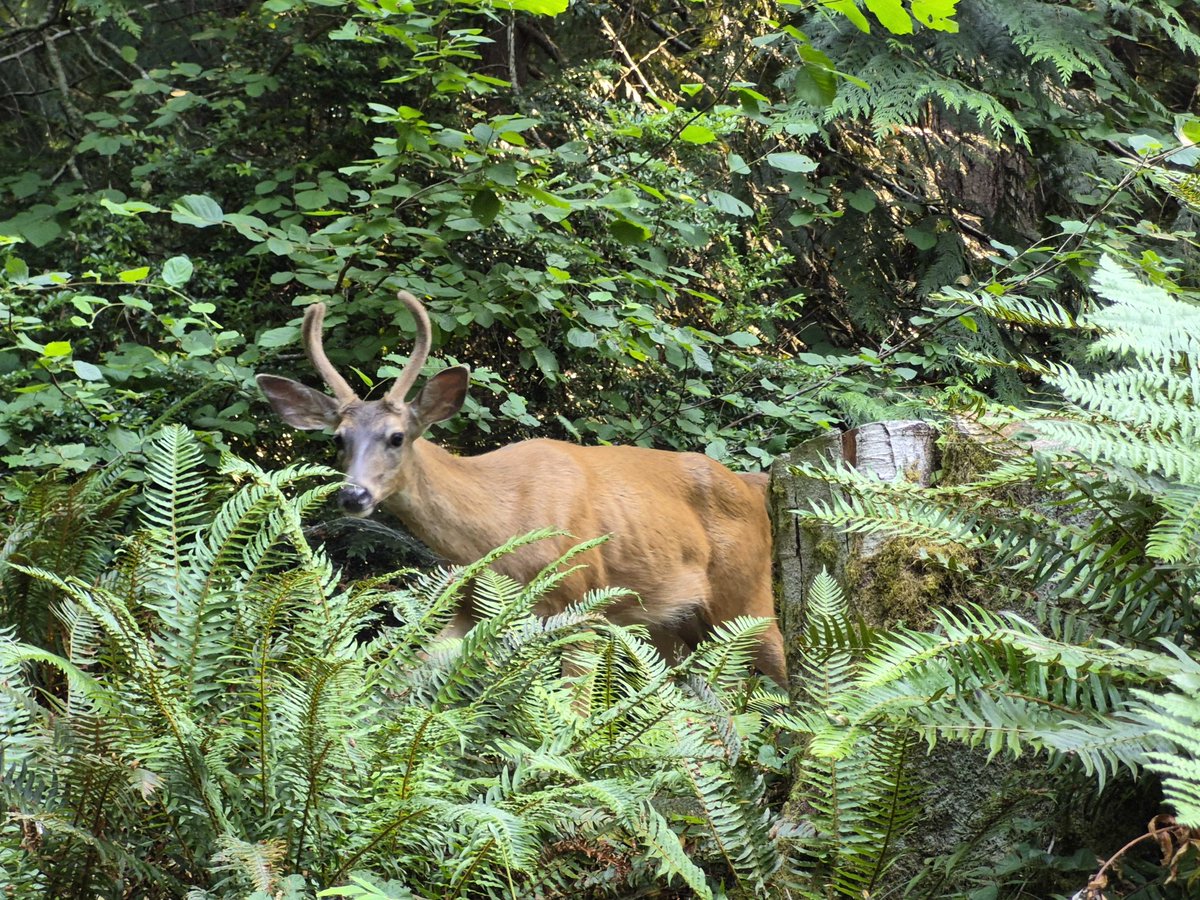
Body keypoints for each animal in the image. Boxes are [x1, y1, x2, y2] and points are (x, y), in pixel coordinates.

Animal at [255, 292, 786, 685]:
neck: (501, 524)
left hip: (746, 592)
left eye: (397, 436)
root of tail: (752, 486)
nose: (354, 496)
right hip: (669, 623)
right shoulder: (468, 603)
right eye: (339, 439)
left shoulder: (579, 600)